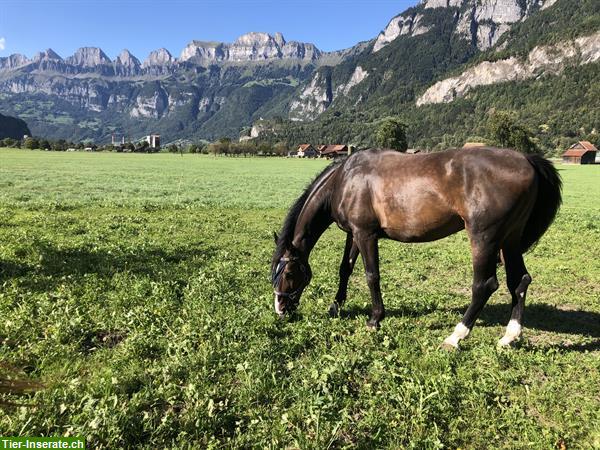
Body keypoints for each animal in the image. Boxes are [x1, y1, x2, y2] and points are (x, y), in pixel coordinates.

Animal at [272, 148, 564, 348]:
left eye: (288, 273)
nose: (280, 309)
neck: (344, 179)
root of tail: (526, 160)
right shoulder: (353, 234)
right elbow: (345, 269)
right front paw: (336, 307)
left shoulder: (366, 235)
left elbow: (371, 276)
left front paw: (375, 319)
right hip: (510, 239)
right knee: (520, 281)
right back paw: (510, 336)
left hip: (485, 238)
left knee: (485, 285)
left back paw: (456, 336)